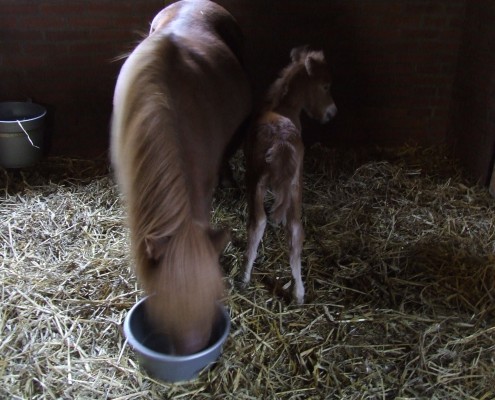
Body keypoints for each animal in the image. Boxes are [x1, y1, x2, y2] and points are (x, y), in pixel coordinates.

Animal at [243, 46, 338, 304]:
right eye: (325, 85)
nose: (332, 113)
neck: (280, 107)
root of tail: (281, 142)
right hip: (295, 184)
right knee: (293, 229)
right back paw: (298, 293)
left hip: (260, 182)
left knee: (260, 222)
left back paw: (246, 278)